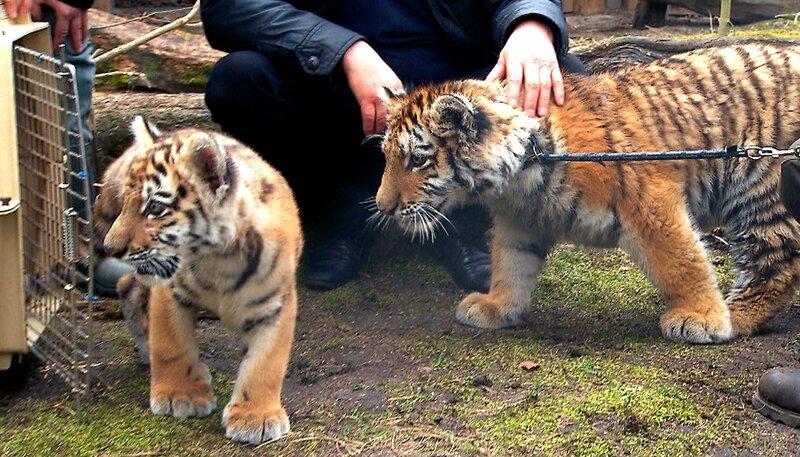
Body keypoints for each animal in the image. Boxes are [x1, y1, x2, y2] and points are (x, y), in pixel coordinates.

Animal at [93, 116, 303, 444]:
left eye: (155, 208)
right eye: (127, 201)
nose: (112, 248)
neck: (219, 258)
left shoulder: (276, 303)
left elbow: (266, 363)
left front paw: (256, 417)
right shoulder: (169, 292)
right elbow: (171, 344)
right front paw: (180, 396)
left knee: (127, 286)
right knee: (128, 289)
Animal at [374, 43, 800, 344]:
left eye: (416, 160)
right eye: (387, 156)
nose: (382, 207)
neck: (521, 171)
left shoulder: (651, 202)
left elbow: (681, 261)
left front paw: (703, 317)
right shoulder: (519, 221)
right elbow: (509, 265)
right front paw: (497, 307)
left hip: (764, 188)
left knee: (776, 266)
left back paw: (734, 317)